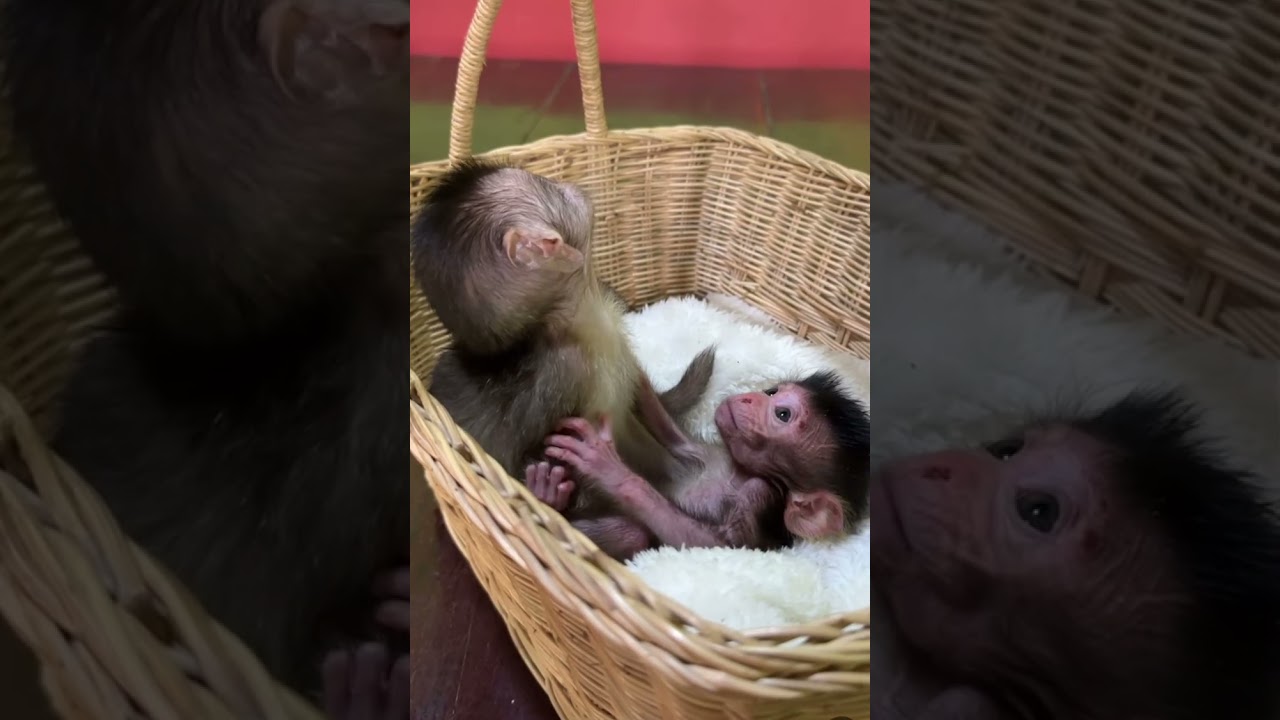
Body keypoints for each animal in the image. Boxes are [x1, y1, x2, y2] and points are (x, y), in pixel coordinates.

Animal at [528, 370, 871, 560]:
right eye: (771, 392)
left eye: (782, 414)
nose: (749, 398)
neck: (738, 472)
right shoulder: (707, 453)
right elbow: (666, 428)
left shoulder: (760, 496)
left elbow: (715, 546)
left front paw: (609, 469)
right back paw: (547, 491)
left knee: (633, 534)